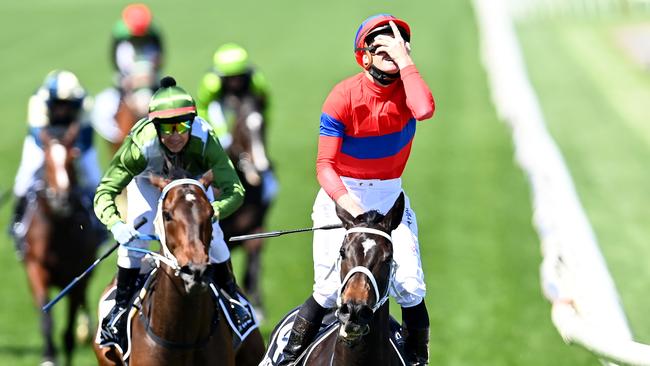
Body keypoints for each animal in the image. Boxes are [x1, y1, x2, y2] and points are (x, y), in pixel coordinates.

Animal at [24, 124, 98, 364]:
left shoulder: (77, 274)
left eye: (72, 159)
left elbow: (68, 333)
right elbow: (46, 319)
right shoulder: (36, 268)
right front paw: (48, 356)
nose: (61, 200)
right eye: (46, 160)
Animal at [219, 94, 274, 314]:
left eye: (264, 125)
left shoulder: (256, 229)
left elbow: (254, 268)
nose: (261, 166)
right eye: (243, 127)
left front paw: (258, 306)